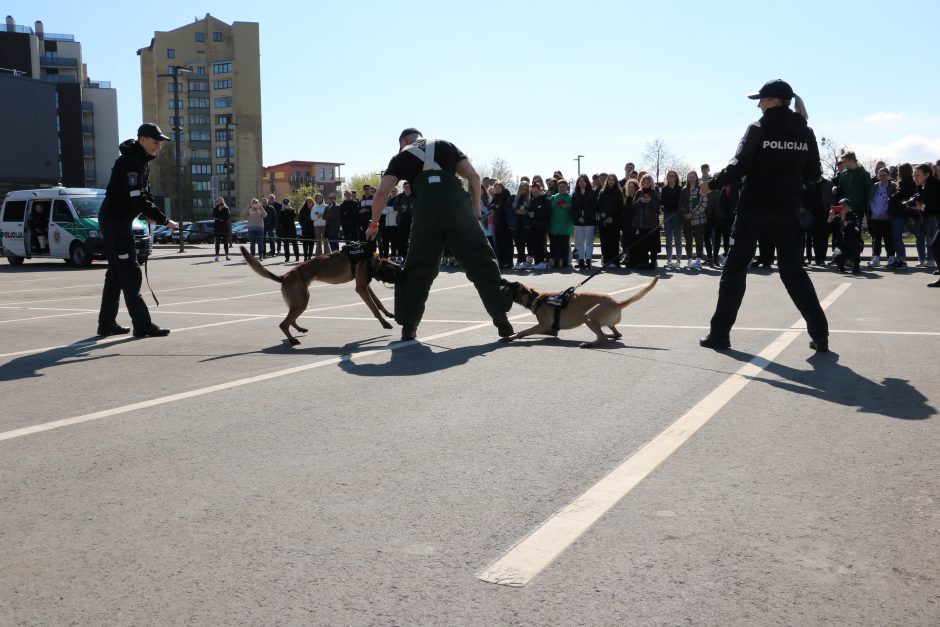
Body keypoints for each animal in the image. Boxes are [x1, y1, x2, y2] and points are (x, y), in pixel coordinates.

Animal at [241, 245, 402, 346]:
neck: (371, 260)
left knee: (290, 320)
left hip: (300, 301)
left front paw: (388, 313)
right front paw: (384, 323)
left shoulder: (366, 287)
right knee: (283, 323)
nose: (403, 277)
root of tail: (284, 277)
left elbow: (378, 303)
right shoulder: (361, 289)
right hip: (301, 302)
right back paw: (293, 340)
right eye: (396, 273)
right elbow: (374, 308)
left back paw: (299, 329)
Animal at [504, 278, 656, 350]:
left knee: (602, 338)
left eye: (514, 284)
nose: (504, 280)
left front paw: (512, 337)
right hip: (603, 321)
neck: (536, 297)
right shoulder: (551, 330)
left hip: (588, 316)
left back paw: (590, 344)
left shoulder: (543, 326)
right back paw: (608, 334)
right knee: (616, 334)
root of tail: (617, 303)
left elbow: (524, 331)